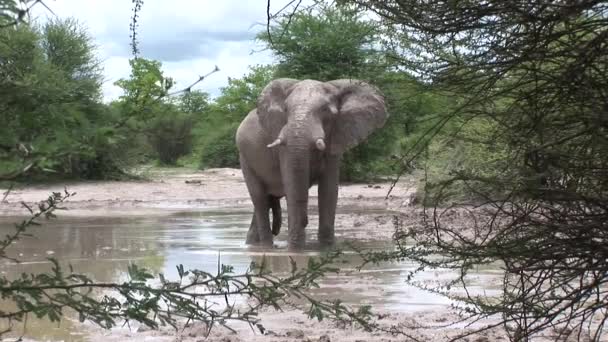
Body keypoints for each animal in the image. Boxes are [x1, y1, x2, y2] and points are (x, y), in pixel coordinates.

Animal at [235, 79, 388, 250]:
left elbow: (329, 189)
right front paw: (296, 251)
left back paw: (255, 245)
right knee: (260, 198)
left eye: (325, 110)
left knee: (266, 200)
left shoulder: (336, 135)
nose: (306, 221)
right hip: (245, 158)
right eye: (286, 110)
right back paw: (266, 248)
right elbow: (292, 185)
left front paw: (326, 249)